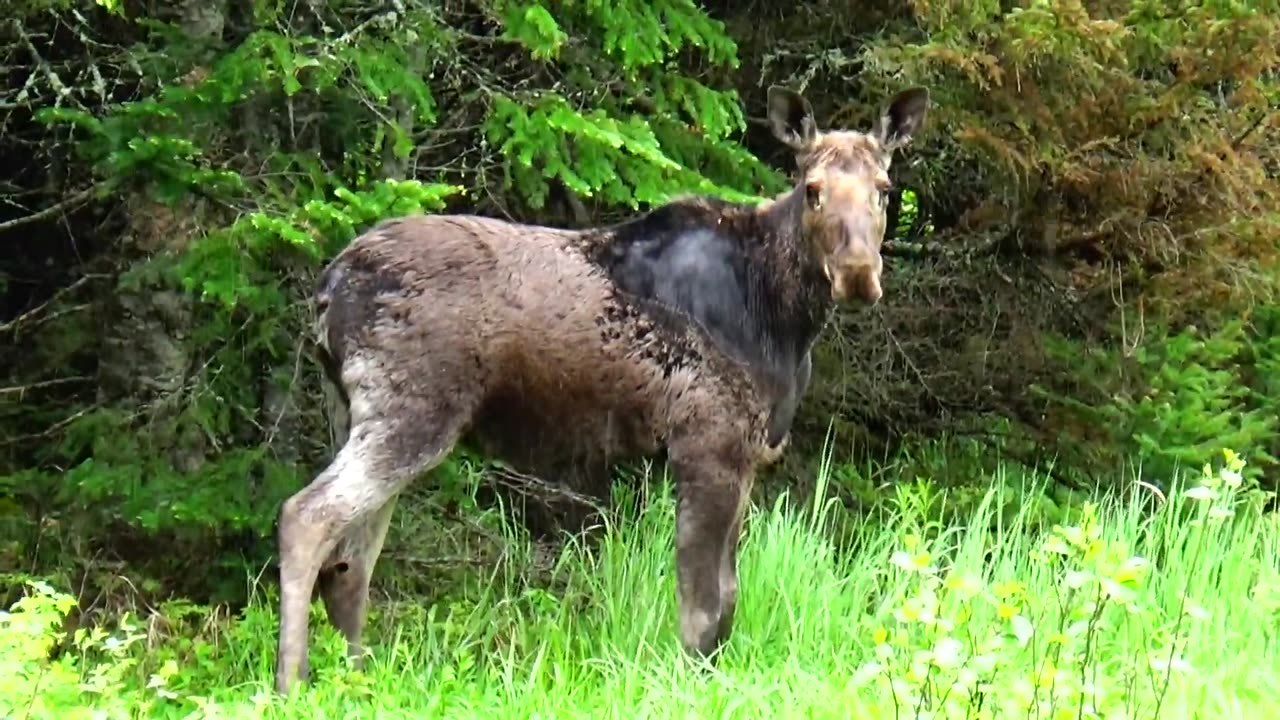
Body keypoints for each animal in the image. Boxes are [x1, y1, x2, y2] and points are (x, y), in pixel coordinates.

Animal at [272, 82, 931, 691]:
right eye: (813, 189)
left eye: (885, 189)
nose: (858, 275)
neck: (783, 318)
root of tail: (327, 290)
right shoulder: (707, 446)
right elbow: (704, 606)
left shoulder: (745, 457)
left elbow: (728, 599)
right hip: (411, 411)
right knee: (305, 518)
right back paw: (289, 683)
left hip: (358, 411)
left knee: (351, 563)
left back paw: (356, 681)